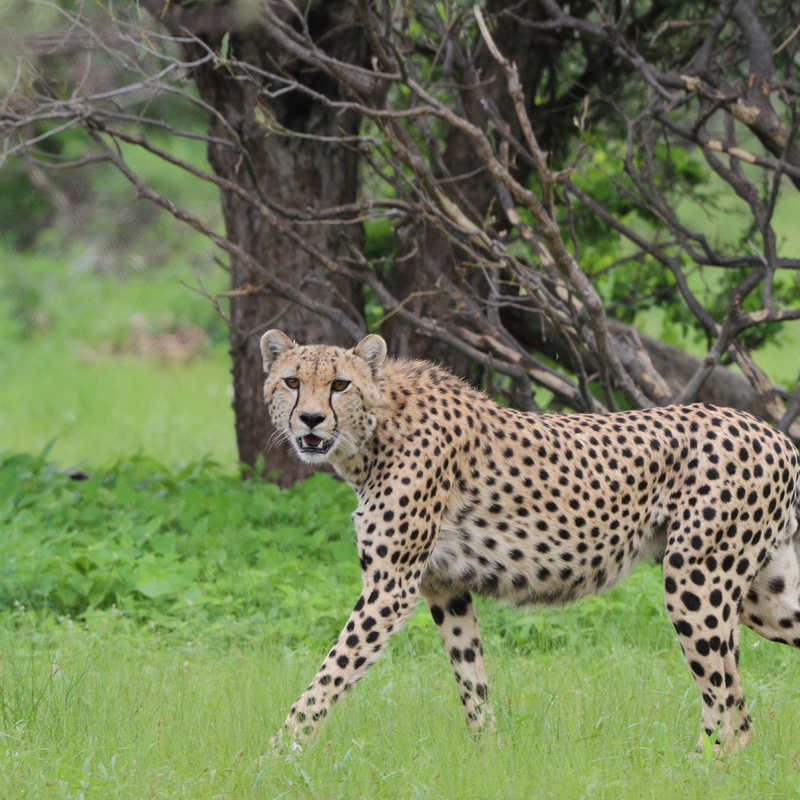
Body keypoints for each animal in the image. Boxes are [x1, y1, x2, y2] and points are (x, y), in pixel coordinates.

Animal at [260, 329, 800, 753]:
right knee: (737, 704)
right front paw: (489, 753)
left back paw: (698, 770)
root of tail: (771, 432)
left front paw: (275, 755)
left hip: (696, 579)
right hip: (761, 593)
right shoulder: (443, 587)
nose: (310, 420)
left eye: (340, 384)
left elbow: (330, 674)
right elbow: (471, 678)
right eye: (292, 382)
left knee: (726, 702)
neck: (374, 432)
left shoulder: (391, 586)